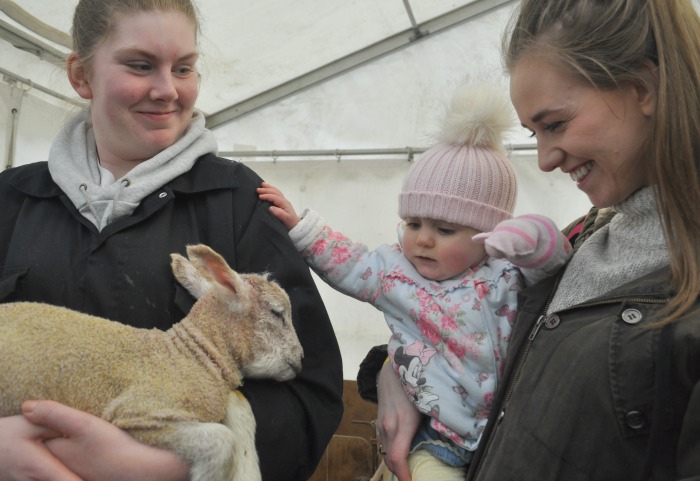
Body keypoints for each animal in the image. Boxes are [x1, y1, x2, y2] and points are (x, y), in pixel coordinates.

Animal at [0, 244, 304, 480]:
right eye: (277, 313)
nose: (301, 360)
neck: (191, 355)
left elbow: (241, 409)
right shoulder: (141, 409)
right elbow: (221, 441)